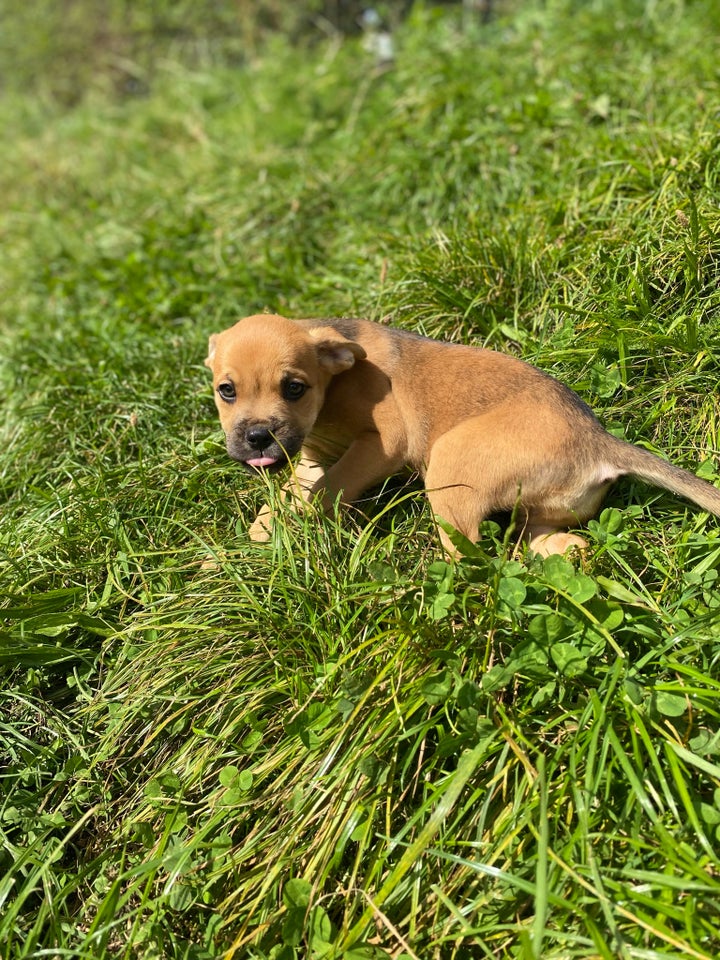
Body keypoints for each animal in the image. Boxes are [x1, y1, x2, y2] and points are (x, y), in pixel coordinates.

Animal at [204, 316, 720, 556]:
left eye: (294, 388)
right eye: (226, 391)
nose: (257, 437)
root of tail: (599, 441)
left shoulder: (381, 444)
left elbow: (329, 489)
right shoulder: (310, 456)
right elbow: (288, 493)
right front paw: (256, 536)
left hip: (449, 465)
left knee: (476, 560)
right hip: (544, 515)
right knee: (545, 547)